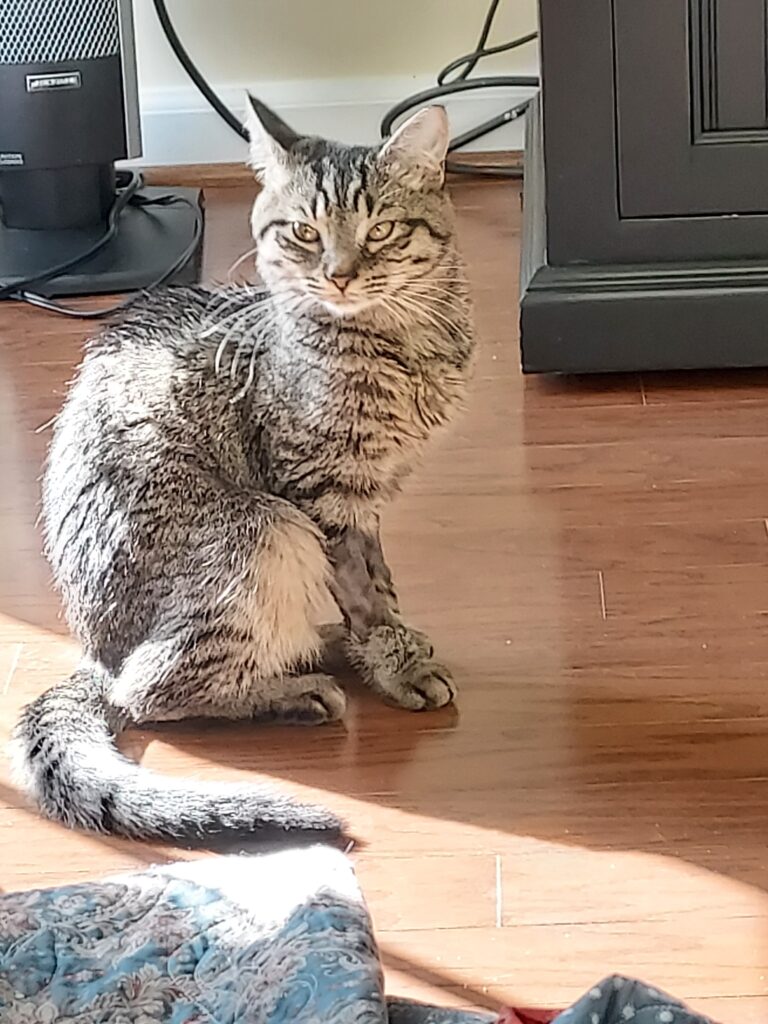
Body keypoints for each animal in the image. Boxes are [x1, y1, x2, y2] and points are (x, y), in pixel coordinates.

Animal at [11, 97, 475, 844]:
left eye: (379, 229)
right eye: (306, 233)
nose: (340, 273)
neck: (401, 344)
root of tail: (96, 649)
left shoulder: (368, 496)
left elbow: (380, 580)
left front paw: (387, 640)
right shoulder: (320, 492)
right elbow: (365, 590)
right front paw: (394, 661)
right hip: (265, 530)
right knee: (149, 688)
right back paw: (291, 691)